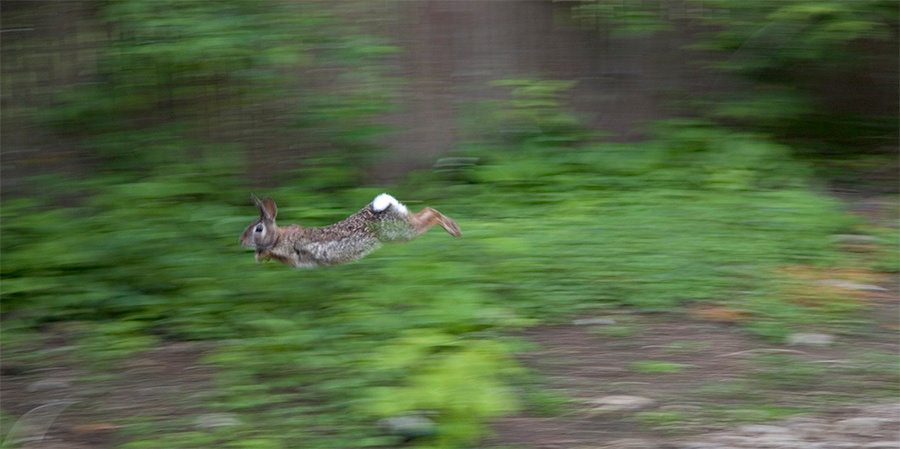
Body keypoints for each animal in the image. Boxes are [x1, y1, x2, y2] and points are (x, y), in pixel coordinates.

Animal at [239, 193, 461, 267]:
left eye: (258, 229)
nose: (241, 241)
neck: (279, 236)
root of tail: (388, 204)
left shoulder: (290, 251)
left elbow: (270, 252)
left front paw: (259, 255)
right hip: (402, 226)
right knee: (427, 211)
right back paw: (454, 227)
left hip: (400, 233)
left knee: (429, 215)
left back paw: (454, 230)